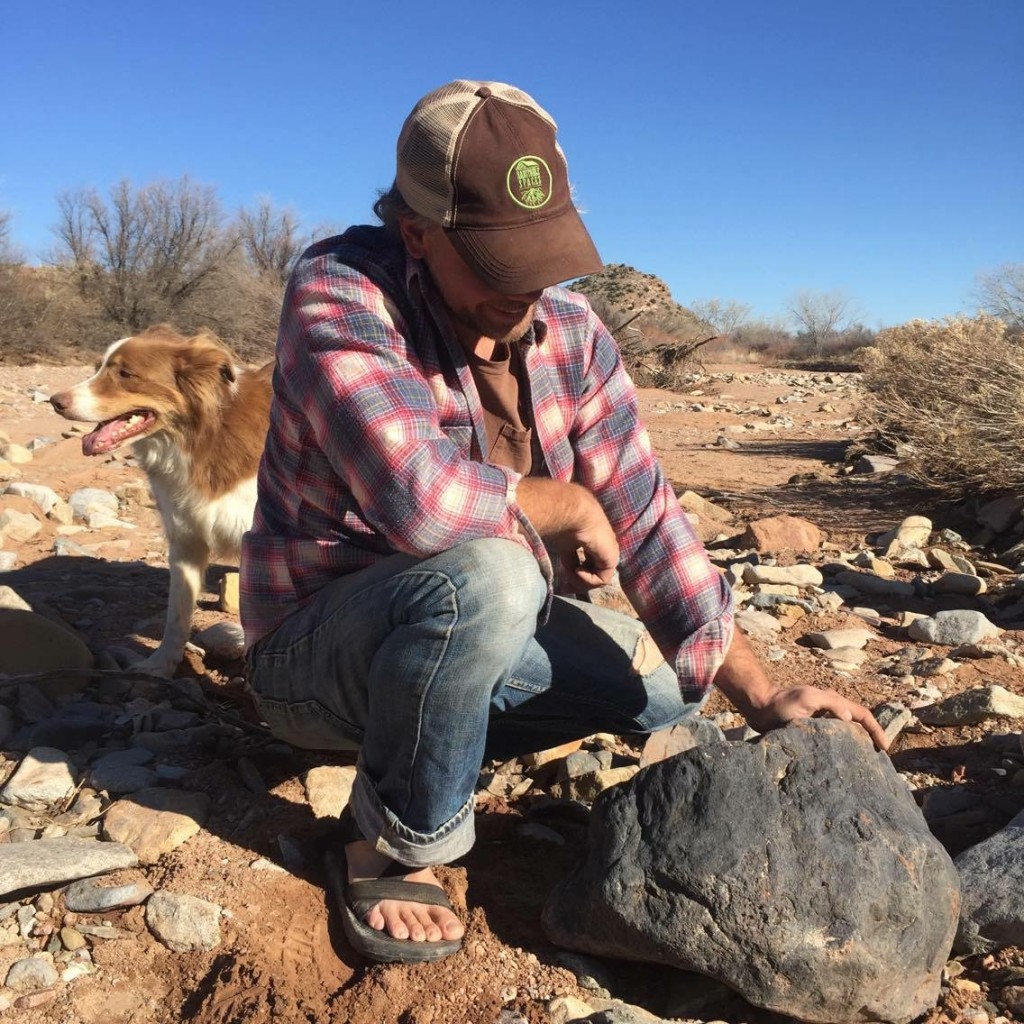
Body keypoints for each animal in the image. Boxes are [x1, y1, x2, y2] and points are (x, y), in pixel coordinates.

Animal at [48, 327, 272, 675]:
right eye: (98, 367)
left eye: (126, 374)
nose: (55, 401)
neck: (201, 438)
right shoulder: (186, 539)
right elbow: (176, 615)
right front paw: (161, 666)